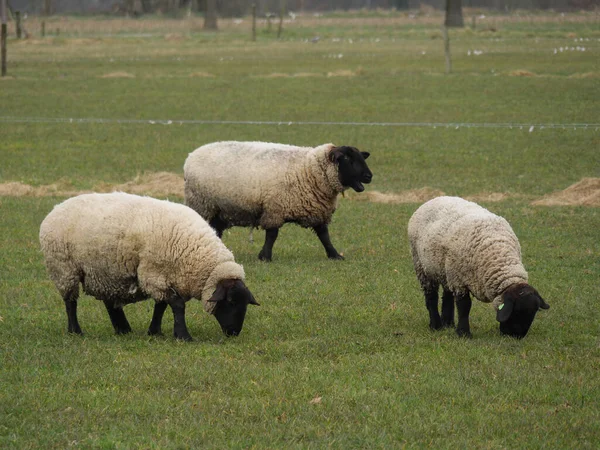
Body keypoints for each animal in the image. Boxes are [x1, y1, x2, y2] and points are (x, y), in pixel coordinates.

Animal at [37, 191, 258, 342]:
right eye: (230, 302)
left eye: (245, 303)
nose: (234, 333)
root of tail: (55, 209)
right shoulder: (152, 274)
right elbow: (177, 305)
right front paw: (183, 335)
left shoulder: (163, 277)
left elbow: (161, 305)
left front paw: (155, 331)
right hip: (64, 269)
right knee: (70, 302)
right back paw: (75, 331)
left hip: (106, 271)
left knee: (109, 301)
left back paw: (123, 328)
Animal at [183, 140, 372, 260]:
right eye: (347, 158)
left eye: (361, 158)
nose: (369, 176)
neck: (308, 170)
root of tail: (191, 156)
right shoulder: (274, 208)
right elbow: (272, 235)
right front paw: (265, 257)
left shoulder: (316, 209)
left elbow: (324, 235)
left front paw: (334, 255)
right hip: (202, 204)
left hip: (219, 210)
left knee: (215, 229)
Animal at [408, 195, 548, 340]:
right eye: (516, 312)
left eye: (534, 313)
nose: (516, 336)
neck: (498, 255)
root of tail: (435, 198)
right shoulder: (459, 281)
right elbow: (464, 307)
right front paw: (464, 333)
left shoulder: (455, 277)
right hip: (422, 265)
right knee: (431, 296)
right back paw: (436, 325)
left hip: (444, 270)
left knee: (447, 294)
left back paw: (448, 323)